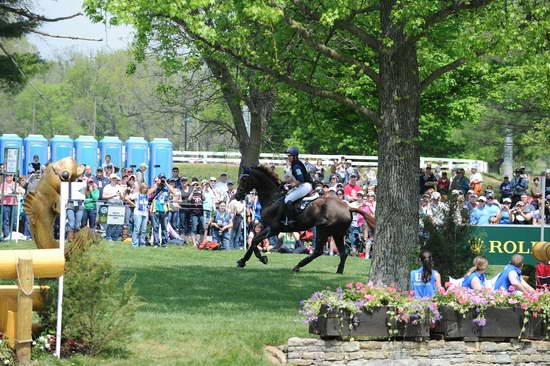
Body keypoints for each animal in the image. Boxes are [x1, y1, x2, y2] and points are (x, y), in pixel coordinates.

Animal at [235, 166, 378, 274]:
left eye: (244, 180)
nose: (237, 195)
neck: (273, 198)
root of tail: (348, 207)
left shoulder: (274, 229)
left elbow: (255, 240)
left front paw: (261, 258)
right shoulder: (267, 227)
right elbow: (253, 240)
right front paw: (243, 261)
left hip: (323, 230)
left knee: (319, 251)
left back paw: (298, 266)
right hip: (337, 232)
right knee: (343, 253)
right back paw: (339, 271)